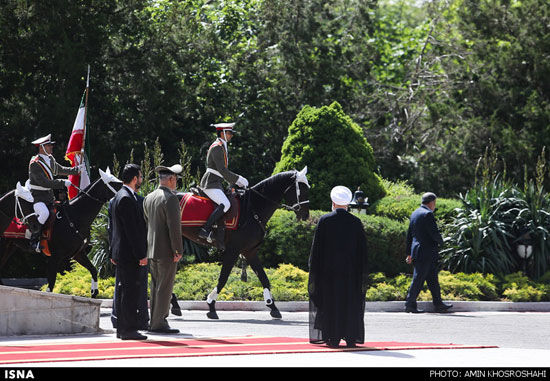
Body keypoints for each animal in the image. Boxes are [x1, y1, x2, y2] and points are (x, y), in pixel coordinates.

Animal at [0, 168, 122, 296]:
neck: (75, 216)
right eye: (114, 183)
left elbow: (93, 270)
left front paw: (94, 291)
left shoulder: (78, 254)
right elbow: (51, 284)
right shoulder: (55, 256)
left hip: (9, 248)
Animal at [181, 168, 310, 320]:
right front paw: (211, 305)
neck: (253, 209)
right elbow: (223, 278)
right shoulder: (233, 251)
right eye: (302, 189)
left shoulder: (250, 251)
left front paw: (272, 306)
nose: (306, 216)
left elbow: (264, 278)